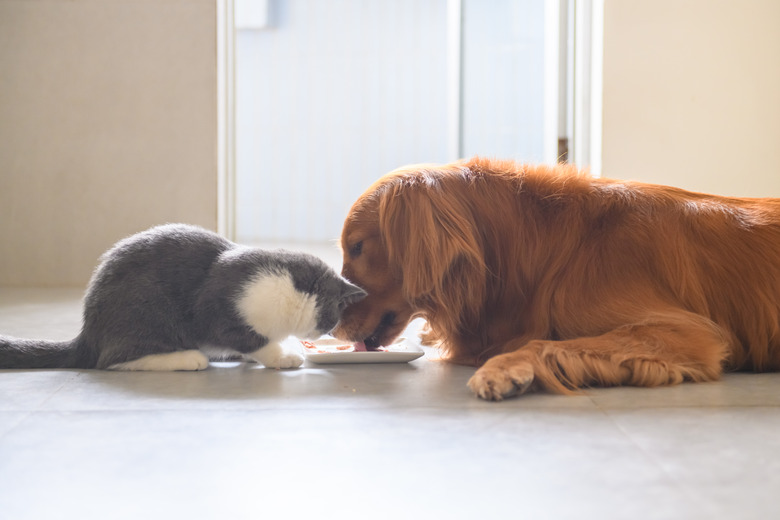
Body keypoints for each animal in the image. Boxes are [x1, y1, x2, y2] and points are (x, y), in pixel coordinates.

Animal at [0, 223, 366, 370]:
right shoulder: (218, 309)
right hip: (146, 313)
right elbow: (249, 338)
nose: (328, 332)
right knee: (114, 360)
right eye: (334, 315)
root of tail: (88, 333)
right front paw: (281, 356)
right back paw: (187, 358)